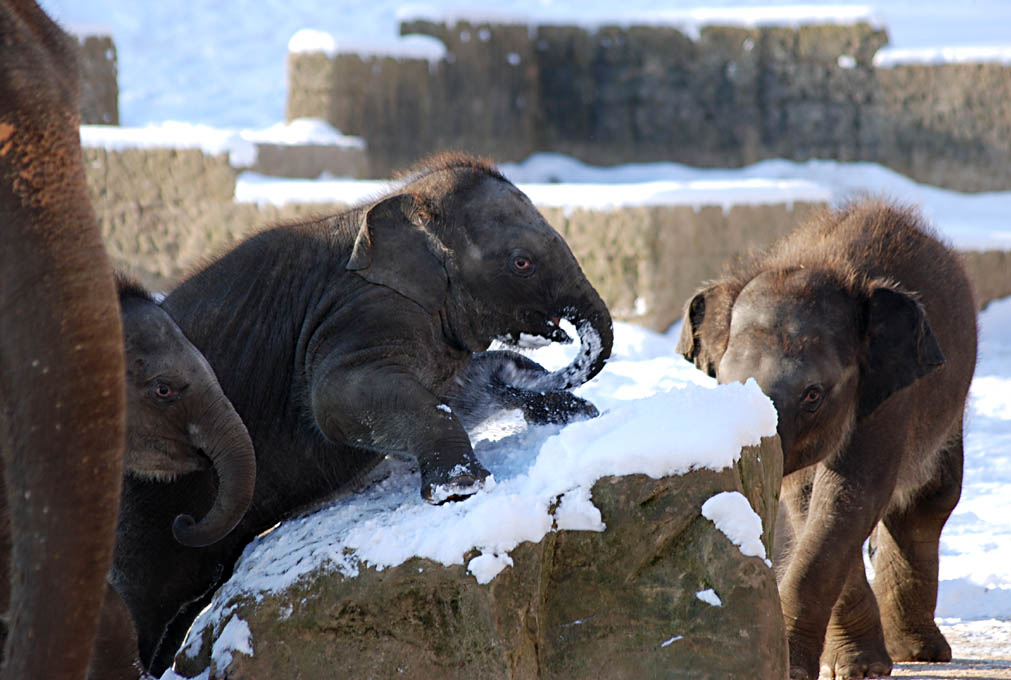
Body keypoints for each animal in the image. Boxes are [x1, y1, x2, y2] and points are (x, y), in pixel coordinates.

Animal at [675, 202, 974, 678]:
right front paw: (850, 665)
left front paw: (822, 668)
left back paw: (917, 652)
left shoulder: (889, 396)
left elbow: (849, 496)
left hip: (950, 405)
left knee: (929, 501)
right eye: (728, 385)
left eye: (812, 395)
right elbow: (809, 501)